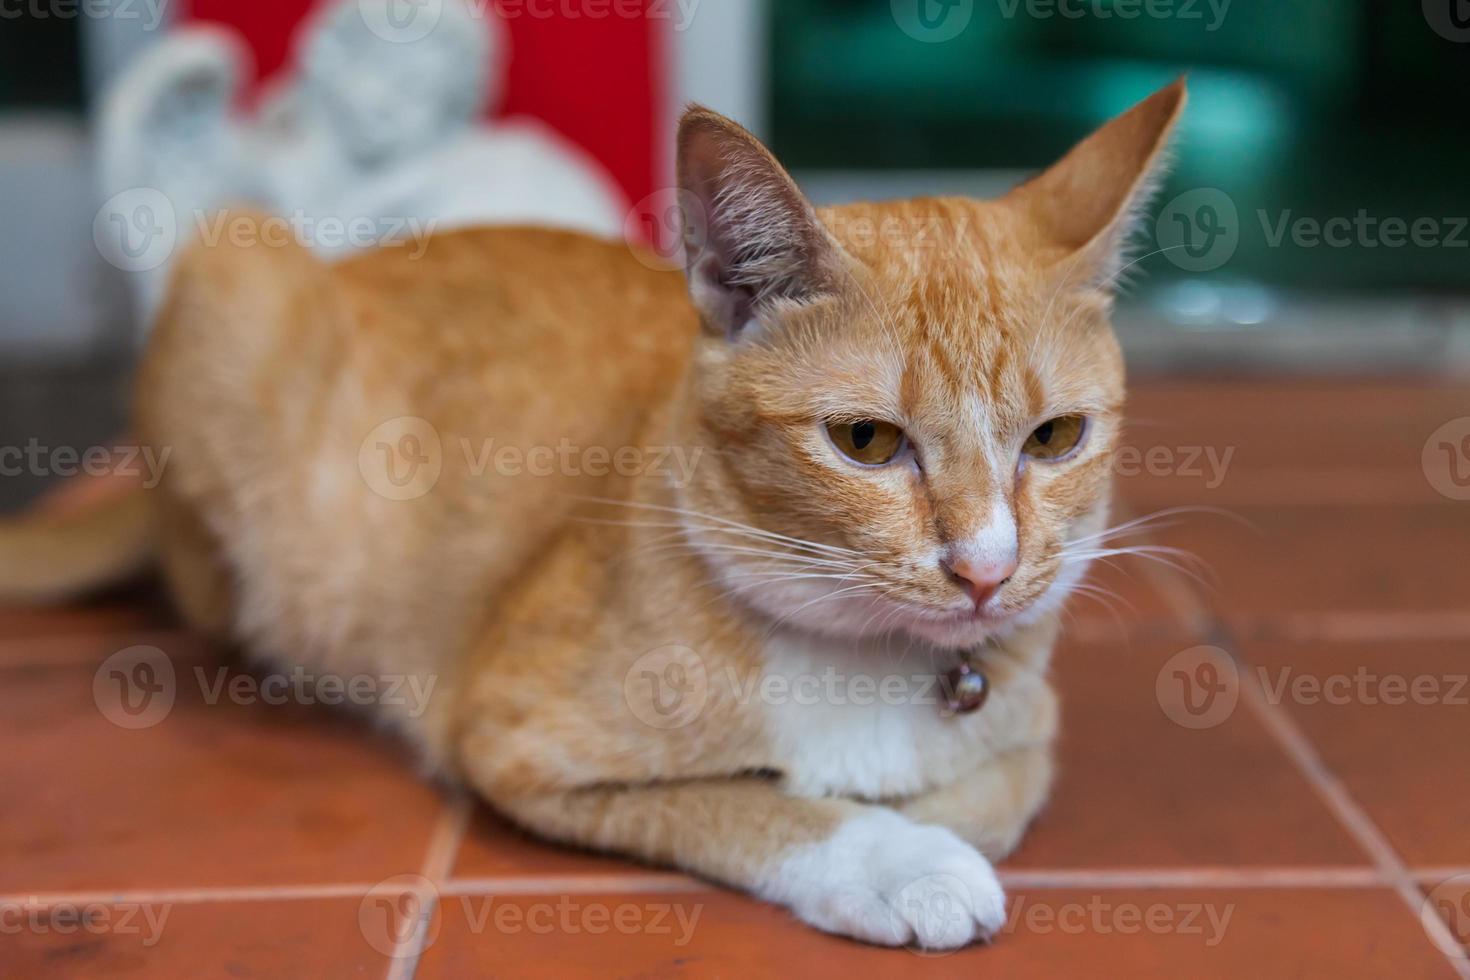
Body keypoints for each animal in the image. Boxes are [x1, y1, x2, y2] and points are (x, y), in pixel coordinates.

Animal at [5, 84, 1181, 952]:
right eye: (867, 442)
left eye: (1055, 438)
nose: (987, 569)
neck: (868, 659)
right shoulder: (513, 740)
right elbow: (750, 798)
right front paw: (890, 856)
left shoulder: (1031, 723)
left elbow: (999, 787)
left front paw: (913, 813)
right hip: (233, 267)